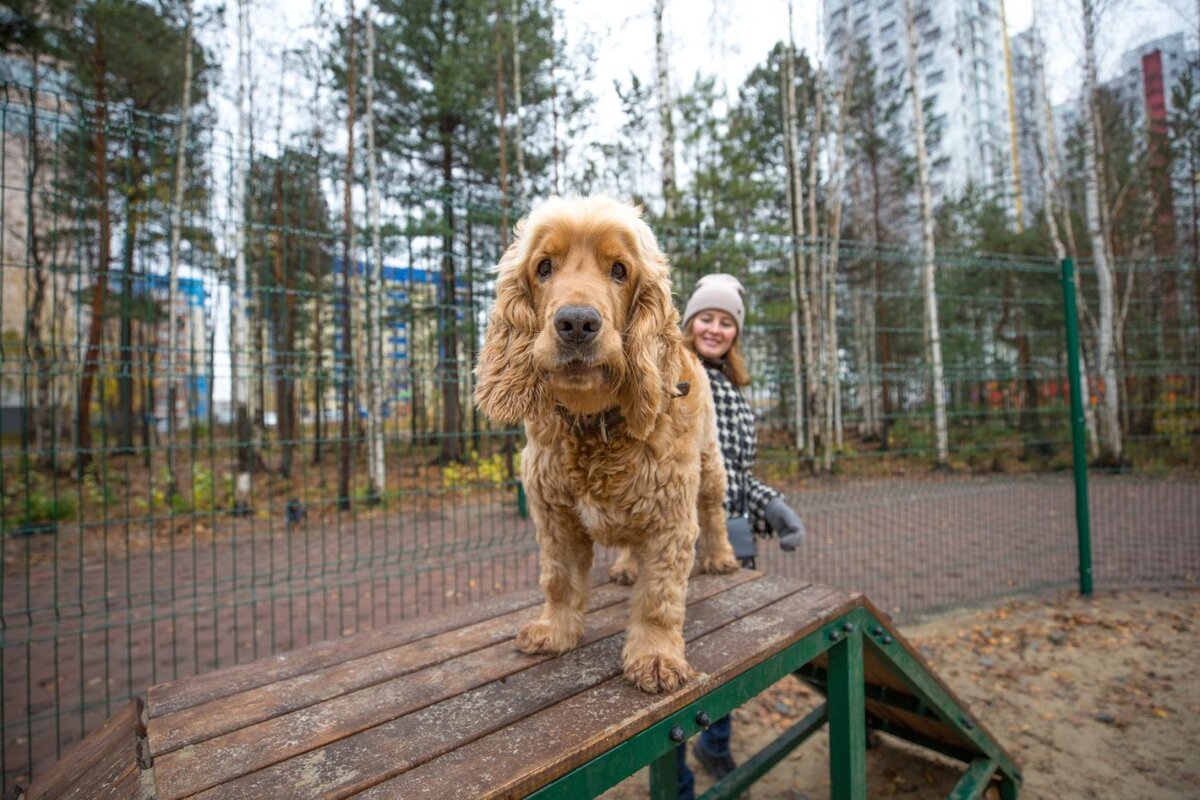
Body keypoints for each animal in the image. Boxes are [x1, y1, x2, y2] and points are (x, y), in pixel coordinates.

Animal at [470, 195, 734, 695]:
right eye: (544, 267)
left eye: (619, 270)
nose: (577, 322)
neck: (594, 424)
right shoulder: (555, 515)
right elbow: (559, 580)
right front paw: (555, 630)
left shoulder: (670, 516)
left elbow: (658, 596)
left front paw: (655, 658)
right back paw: (628, 566)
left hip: (710, 466)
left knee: (714, 511)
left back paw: (721, 557)